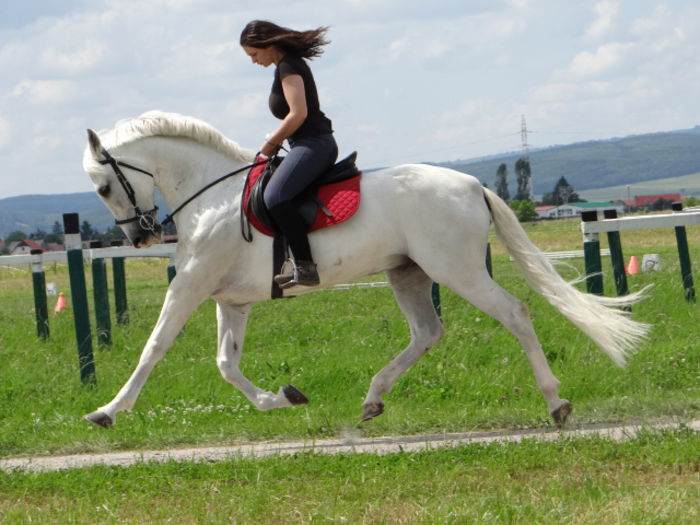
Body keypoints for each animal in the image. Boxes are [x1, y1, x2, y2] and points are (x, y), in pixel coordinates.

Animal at [80, 109, 644, 426]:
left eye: (104, 186)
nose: (139, 236)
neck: (210, 196)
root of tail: (472, 184)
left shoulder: (191, 287)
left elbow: (154, 348)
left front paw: (107, 411)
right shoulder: (230, 300)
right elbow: (227, 364)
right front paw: (285, 398)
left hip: (456, 269)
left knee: (515, 314)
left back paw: (556, 403)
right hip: (408, 273)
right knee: (427, 332)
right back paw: (372, 400)